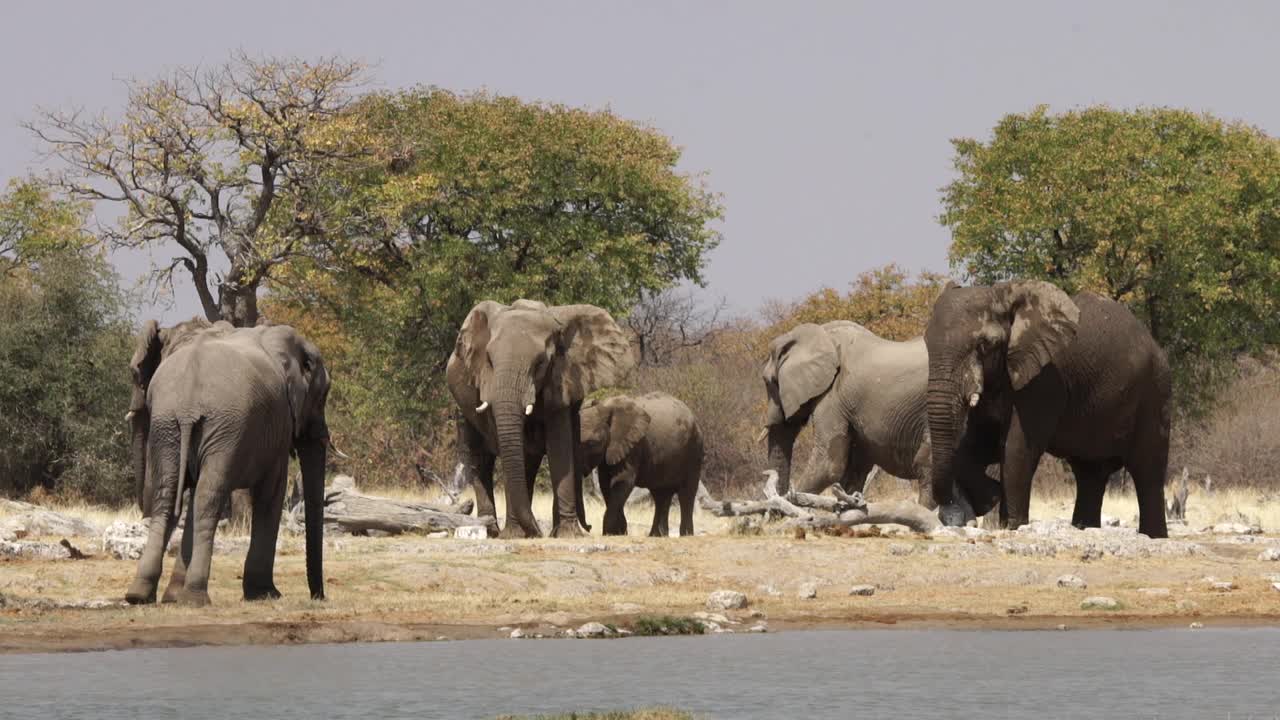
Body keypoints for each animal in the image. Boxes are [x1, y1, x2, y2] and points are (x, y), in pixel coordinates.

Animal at [124, 322, 332, 602]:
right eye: (322, 398)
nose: (318, 597)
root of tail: (188, 404)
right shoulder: (278, 427)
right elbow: (271, 494)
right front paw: (266, 594)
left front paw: (173, 597)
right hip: (225, 427)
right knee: (208, 498)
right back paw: (195, 597)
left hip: (170, 425)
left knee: (169, 496)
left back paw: (140, 595)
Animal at [445, 294, 634, 535]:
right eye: (489, 360)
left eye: (541, 363)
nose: (538, 530)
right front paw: (515, 534)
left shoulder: (562, 380)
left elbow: (560, 447)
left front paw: (567, 534)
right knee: (481, 459)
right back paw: (492, 530)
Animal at [757, 317, 998, 509]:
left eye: (769, 383)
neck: (817, 334)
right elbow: (855, 468)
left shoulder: (833, 397)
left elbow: (828, 464)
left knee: (929, 462)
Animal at [921, 278, 1172, 535]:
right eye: (927, 342)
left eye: (985, 344)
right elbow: (971, 446)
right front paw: (992, 499)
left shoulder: (1045, 380)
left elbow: (1016, 448)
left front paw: (1011, 525)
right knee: (1090, 474)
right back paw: (1084, 527)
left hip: (1155, 394)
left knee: (1148, 471)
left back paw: (1154, 537)